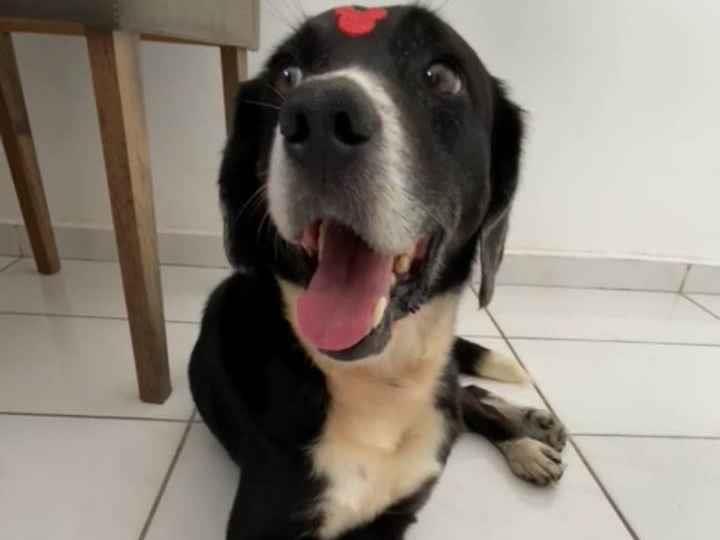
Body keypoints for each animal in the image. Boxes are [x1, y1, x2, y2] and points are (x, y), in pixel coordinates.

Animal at [189, 5, 567, 539]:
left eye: (441, 76)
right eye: (287, 76)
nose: (319, 115)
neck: (383, 379)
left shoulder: (400, 509)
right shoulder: (266, 520)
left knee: (465, 396)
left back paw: (529, 434)